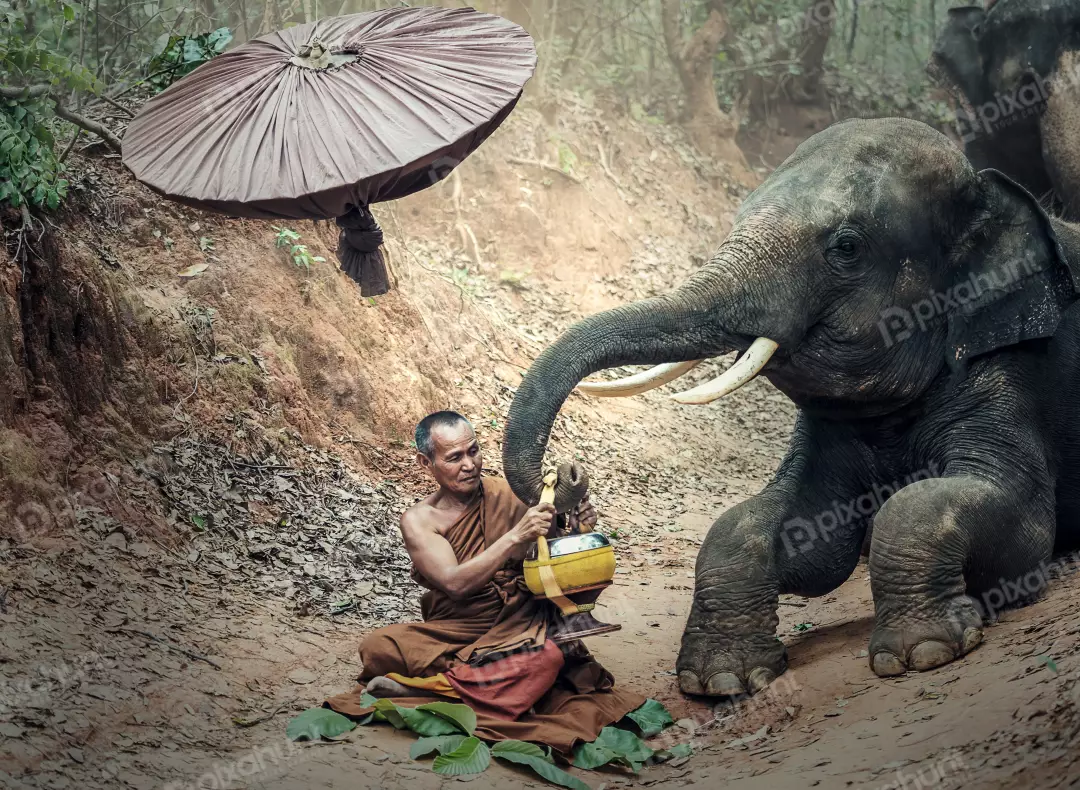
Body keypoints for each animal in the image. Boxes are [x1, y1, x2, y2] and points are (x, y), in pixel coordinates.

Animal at [498, 115, 1080, 691]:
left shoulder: (1013, 369)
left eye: (847, 247)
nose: (564, 474)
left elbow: (1007, 520)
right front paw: (722, 681)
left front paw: (923, 653)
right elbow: (787, 532)